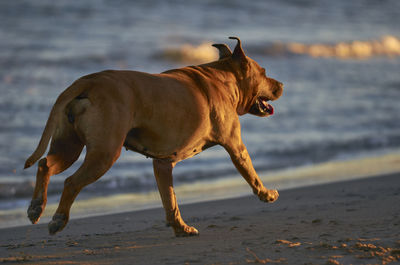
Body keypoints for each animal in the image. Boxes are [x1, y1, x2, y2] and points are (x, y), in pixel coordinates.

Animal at [25, 36, 282, 235]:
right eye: (264, 73)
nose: (281, 84)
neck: (223, 79)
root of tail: (88, 81)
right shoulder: (235, 145)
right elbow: (251, 173)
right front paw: (266, 194)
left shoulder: (163, 164)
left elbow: (170, 199)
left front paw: (180, 228)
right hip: (105, 153)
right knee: (71, 182)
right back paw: (58, 219)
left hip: (68, 146)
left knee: (45, 164)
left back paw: (36, 206)